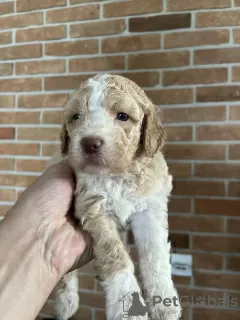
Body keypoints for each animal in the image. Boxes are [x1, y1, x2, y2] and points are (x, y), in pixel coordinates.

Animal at [54, 74, 182, 320]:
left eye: (122, 116)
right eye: (76, 117)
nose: (90, 142)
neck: (118, 175)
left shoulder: (150, 207)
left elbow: (155, 253)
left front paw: (164, 301)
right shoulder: (93, 207)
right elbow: (116, 257)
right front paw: (128, 308)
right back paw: (66, 302)